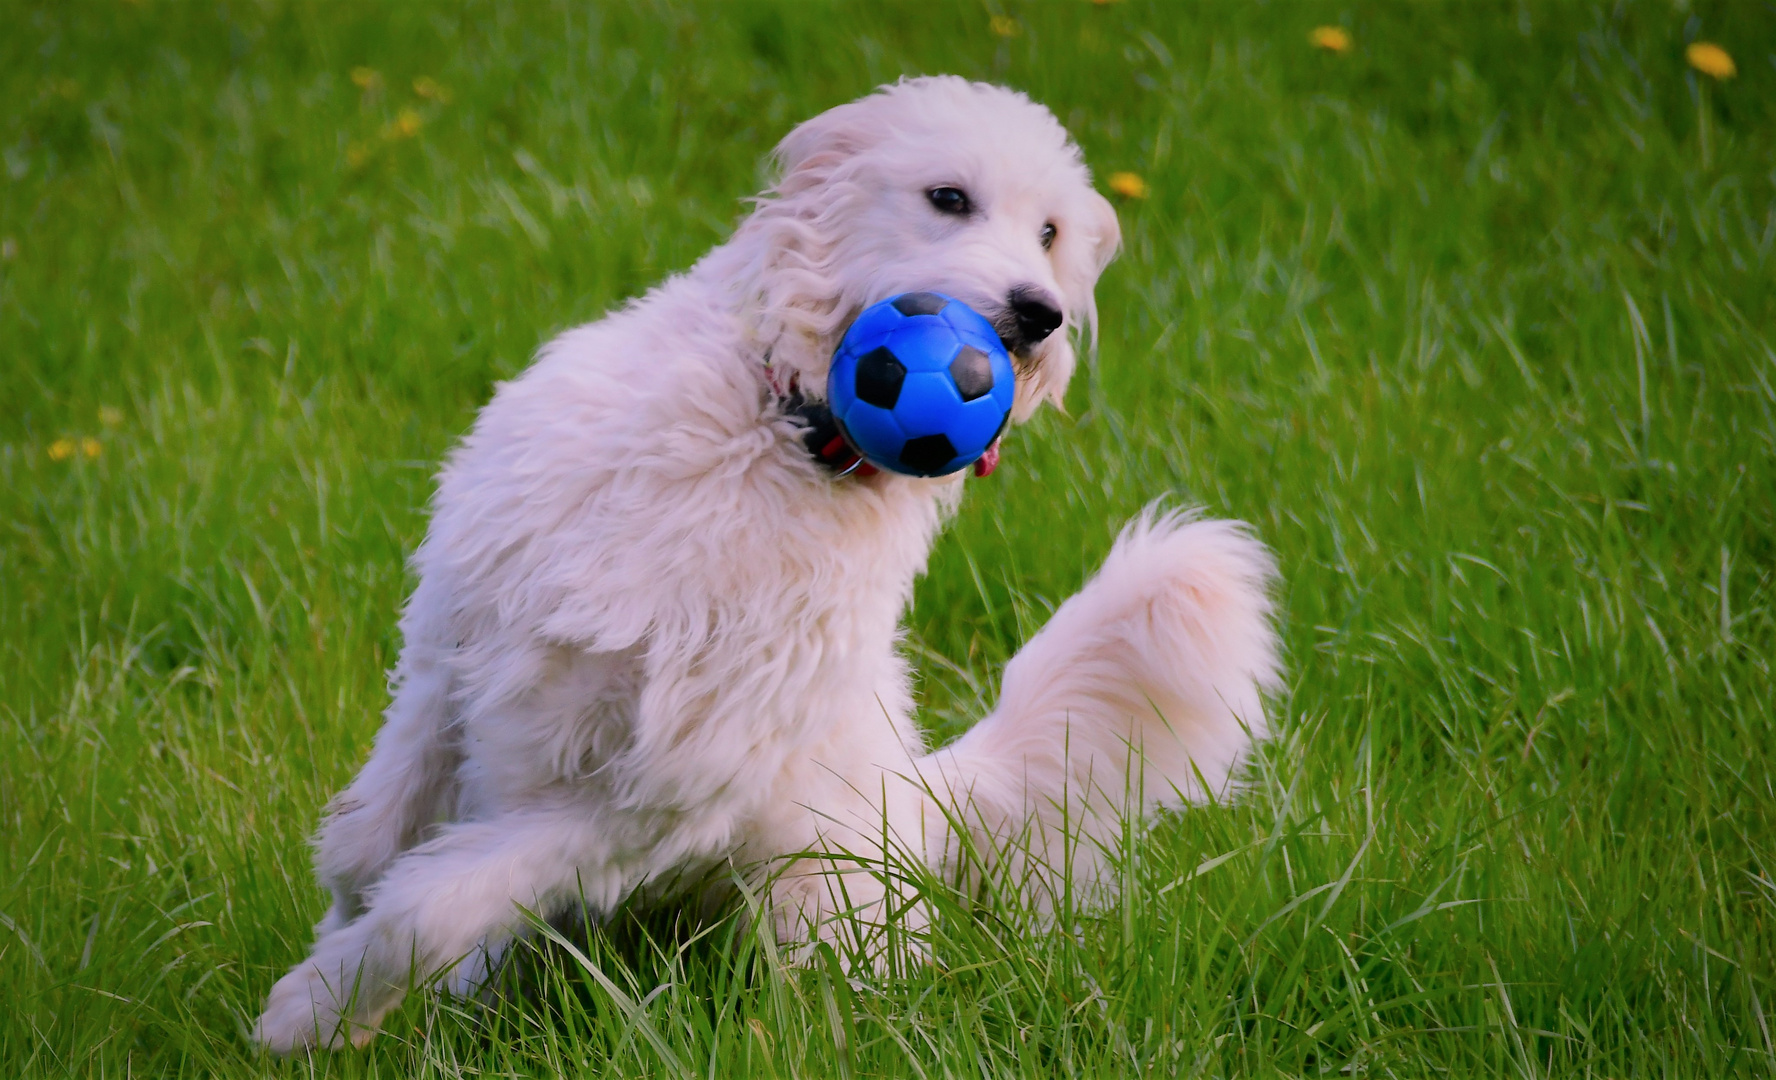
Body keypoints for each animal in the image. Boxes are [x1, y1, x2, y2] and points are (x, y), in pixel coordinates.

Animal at [250, 78, 1278, 1051]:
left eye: (1050, 233)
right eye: (949, 197)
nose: (1041, 314)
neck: (773, 435)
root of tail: (926, 800)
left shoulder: (651, 797)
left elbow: (428, 909)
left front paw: (315, 1008)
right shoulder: (450, 661)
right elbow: (364, 849)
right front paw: (336, 981)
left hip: (820, 906)